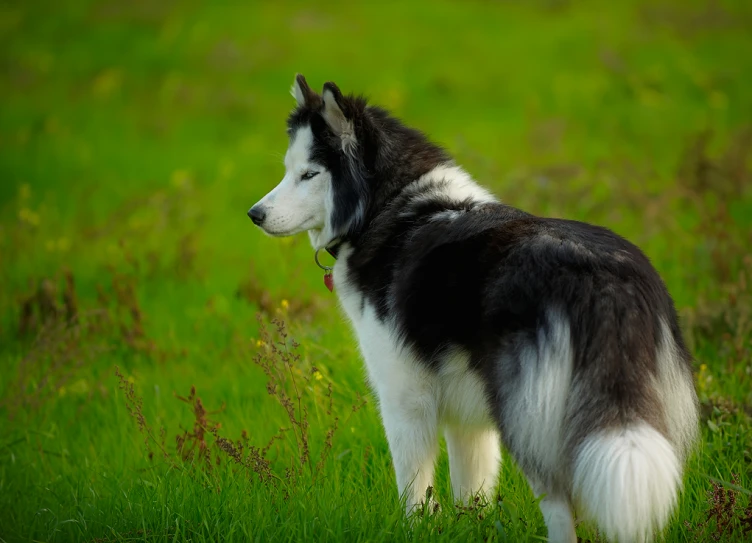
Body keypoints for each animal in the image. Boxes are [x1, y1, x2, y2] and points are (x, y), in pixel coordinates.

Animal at [250, 76, 704, 543]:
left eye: (309, 173)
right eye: (288, 170)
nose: (254, 214)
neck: (390, 206)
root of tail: (602, 280)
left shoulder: (404, 397)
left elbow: (415, 491)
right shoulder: (468, 420)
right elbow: (473, 494)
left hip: (528, 422)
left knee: (560, 509)